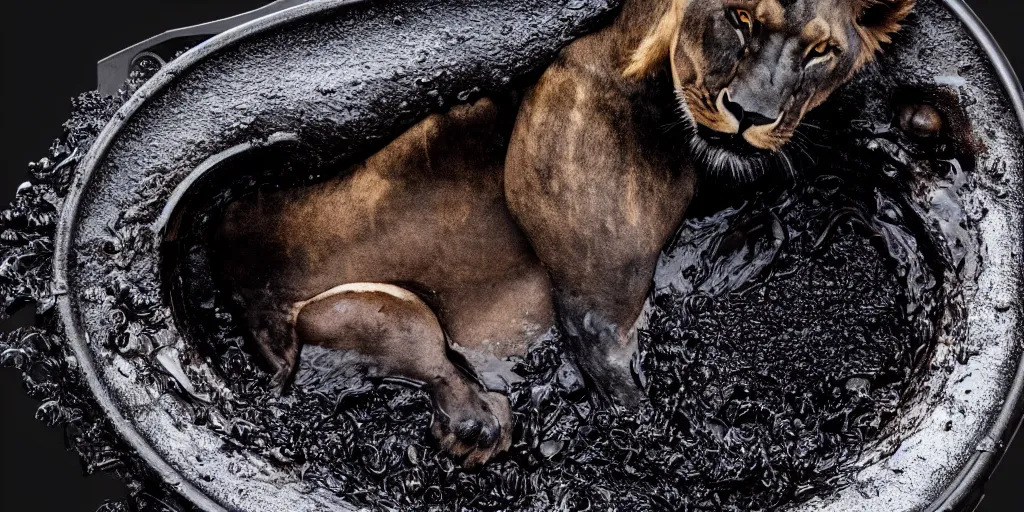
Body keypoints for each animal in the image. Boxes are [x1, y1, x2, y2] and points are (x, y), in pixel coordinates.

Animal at [214, 0, 913, 466]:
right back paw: (478, 422)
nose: (750, 113)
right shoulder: (594, 318)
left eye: (821, 50)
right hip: (375, 309)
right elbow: (642, 408)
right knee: (448, 379)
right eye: (739, 16)